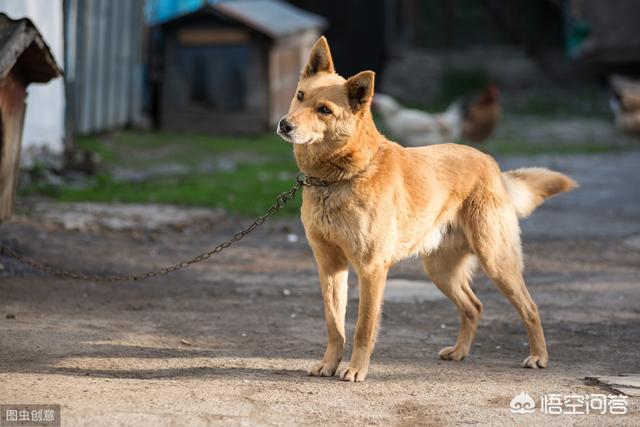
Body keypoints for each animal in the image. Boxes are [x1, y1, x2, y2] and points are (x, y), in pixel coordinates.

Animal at [278, 37, 576, 384]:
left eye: (324, 110)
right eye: (300, 96)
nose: (284, 125)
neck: (340, 176)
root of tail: (490, 163)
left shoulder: (371, 270)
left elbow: (363, 328)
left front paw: (355, 369)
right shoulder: (329, 266)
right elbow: (333, 323)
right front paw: (329, 364)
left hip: (497, 261)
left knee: (529, 307)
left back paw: (539, 356)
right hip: (440, 270)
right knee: (473, 306)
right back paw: (460, 352)